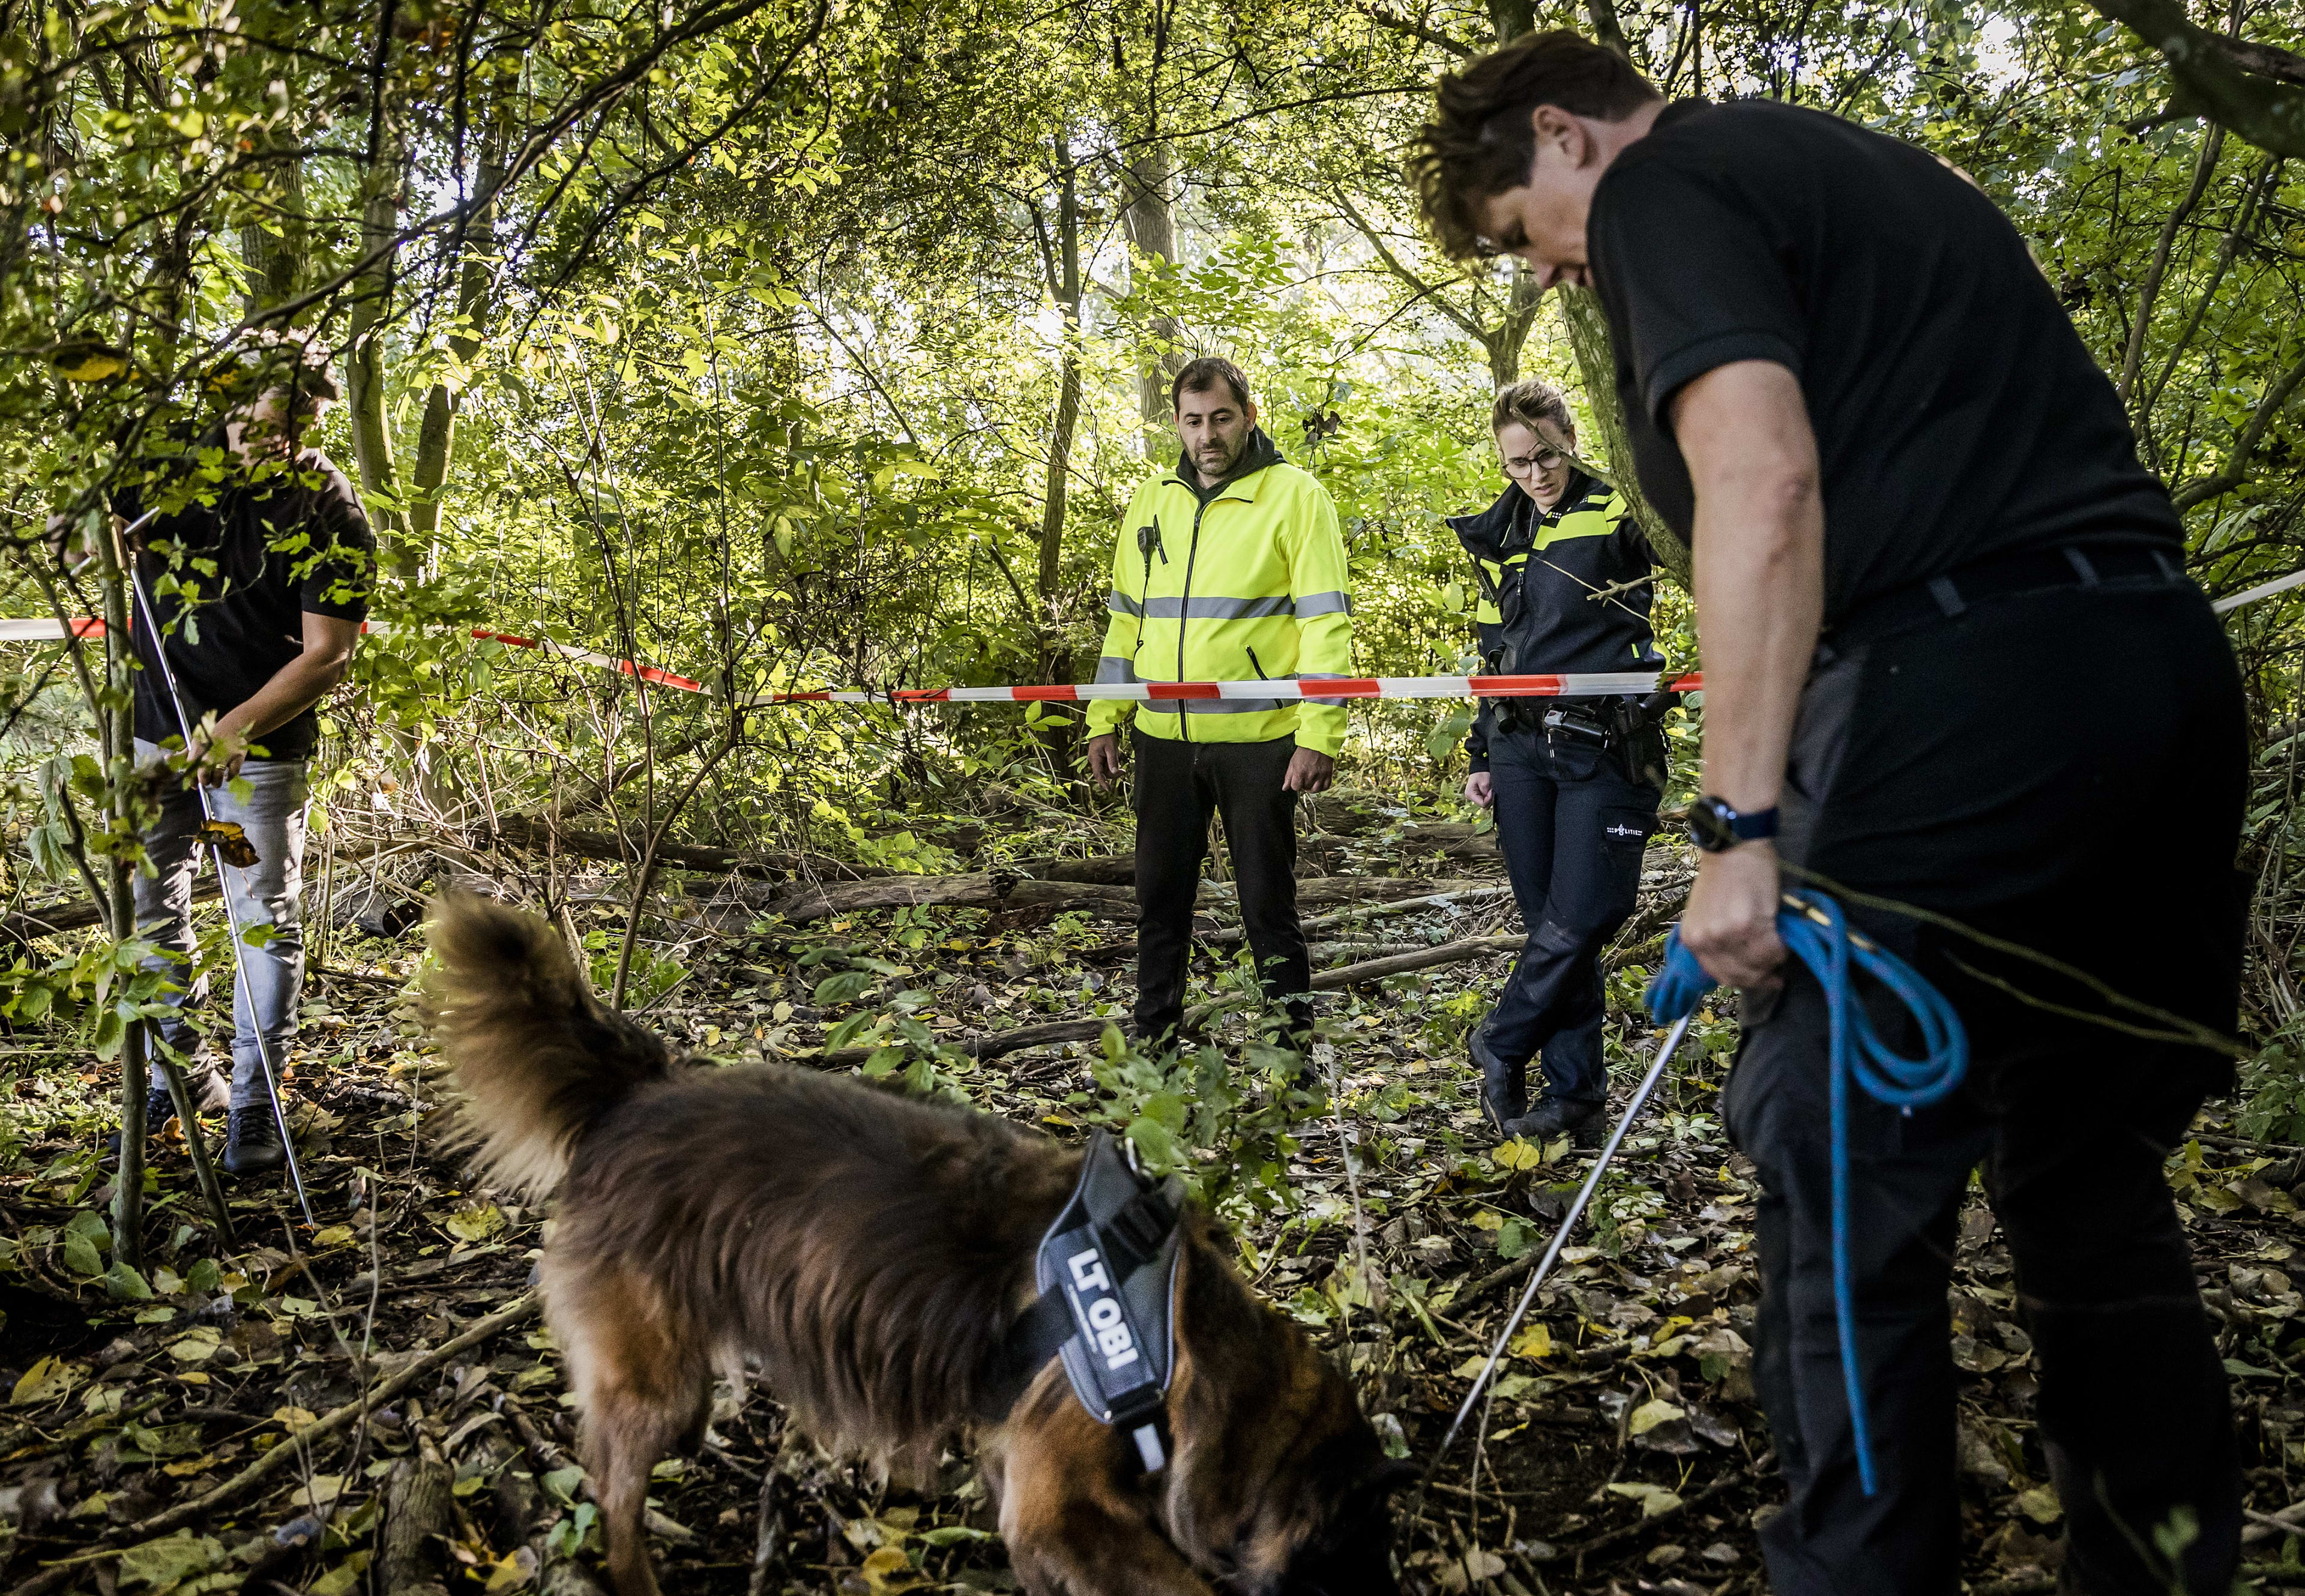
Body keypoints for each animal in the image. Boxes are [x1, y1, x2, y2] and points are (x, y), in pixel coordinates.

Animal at [424, 899, 1411, 1596]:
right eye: (1351, 1557)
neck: (1185, 1329)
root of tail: (639, 1090)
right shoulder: (1060, 1505)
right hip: (650, 1384)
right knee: (611, 1493)